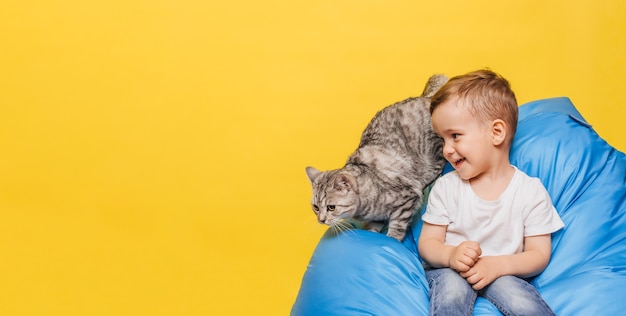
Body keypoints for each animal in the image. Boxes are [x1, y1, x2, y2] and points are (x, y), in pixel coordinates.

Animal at [304, 74, 446, 242]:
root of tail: (426, 97)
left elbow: (397, 226)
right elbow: (373, 226)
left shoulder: (406, 199)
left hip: (432, 154)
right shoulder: (377, 216)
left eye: (331, 207)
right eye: (315, 207)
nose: (321, 219)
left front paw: (392, 239)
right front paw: (371, 233)